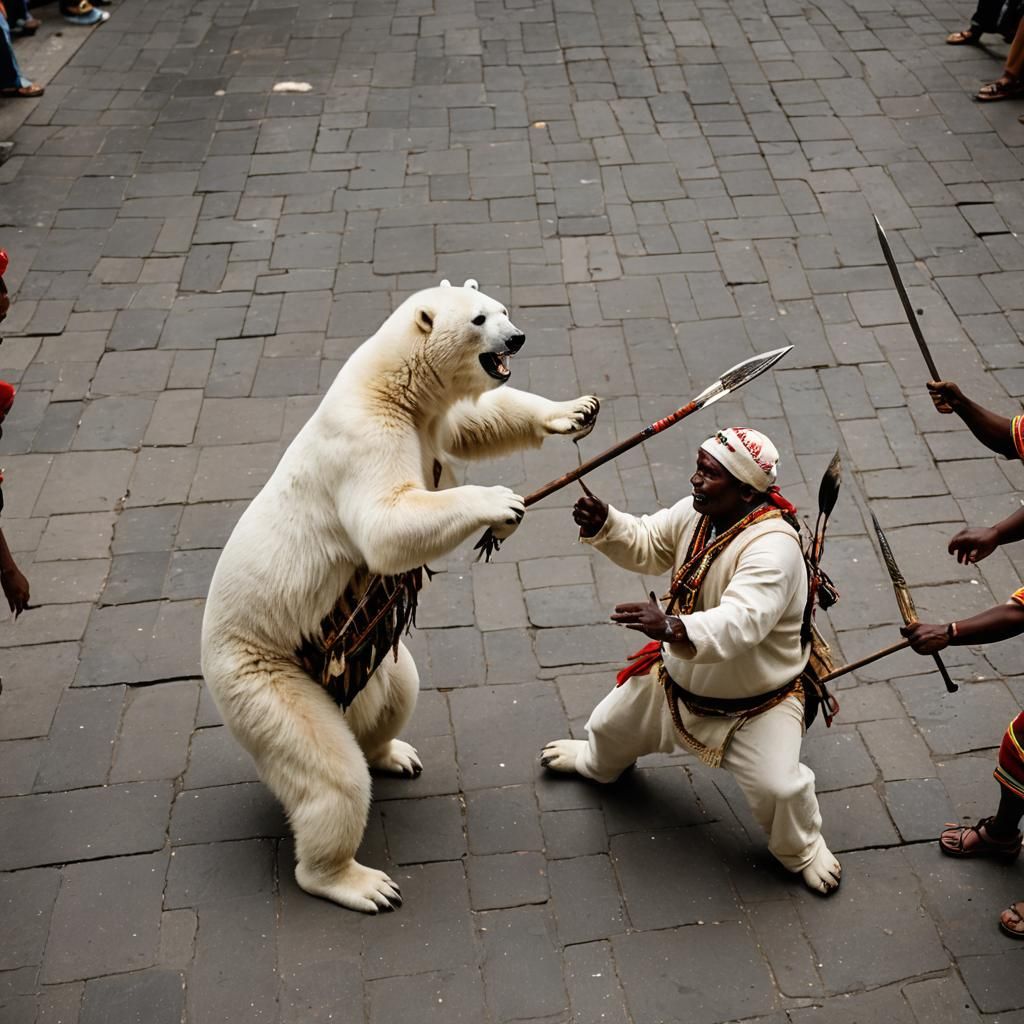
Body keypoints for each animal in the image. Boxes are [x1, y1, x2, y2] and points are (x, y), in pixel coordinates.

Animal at [201, 279, 599, 913]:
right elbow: (386, 524)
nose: (517, 337)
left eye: (503, 308)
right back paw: (357, 882)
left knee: (396, 690)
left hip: (362, 660)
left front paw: (574, 411)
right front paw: (501, 501)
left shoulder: (430, 420)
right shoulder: (368, 438)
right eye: (480, 319)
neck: (390, 383)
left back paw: (394, 753)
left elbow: (476, 422)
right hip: (259, 673)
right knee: (330, 772)